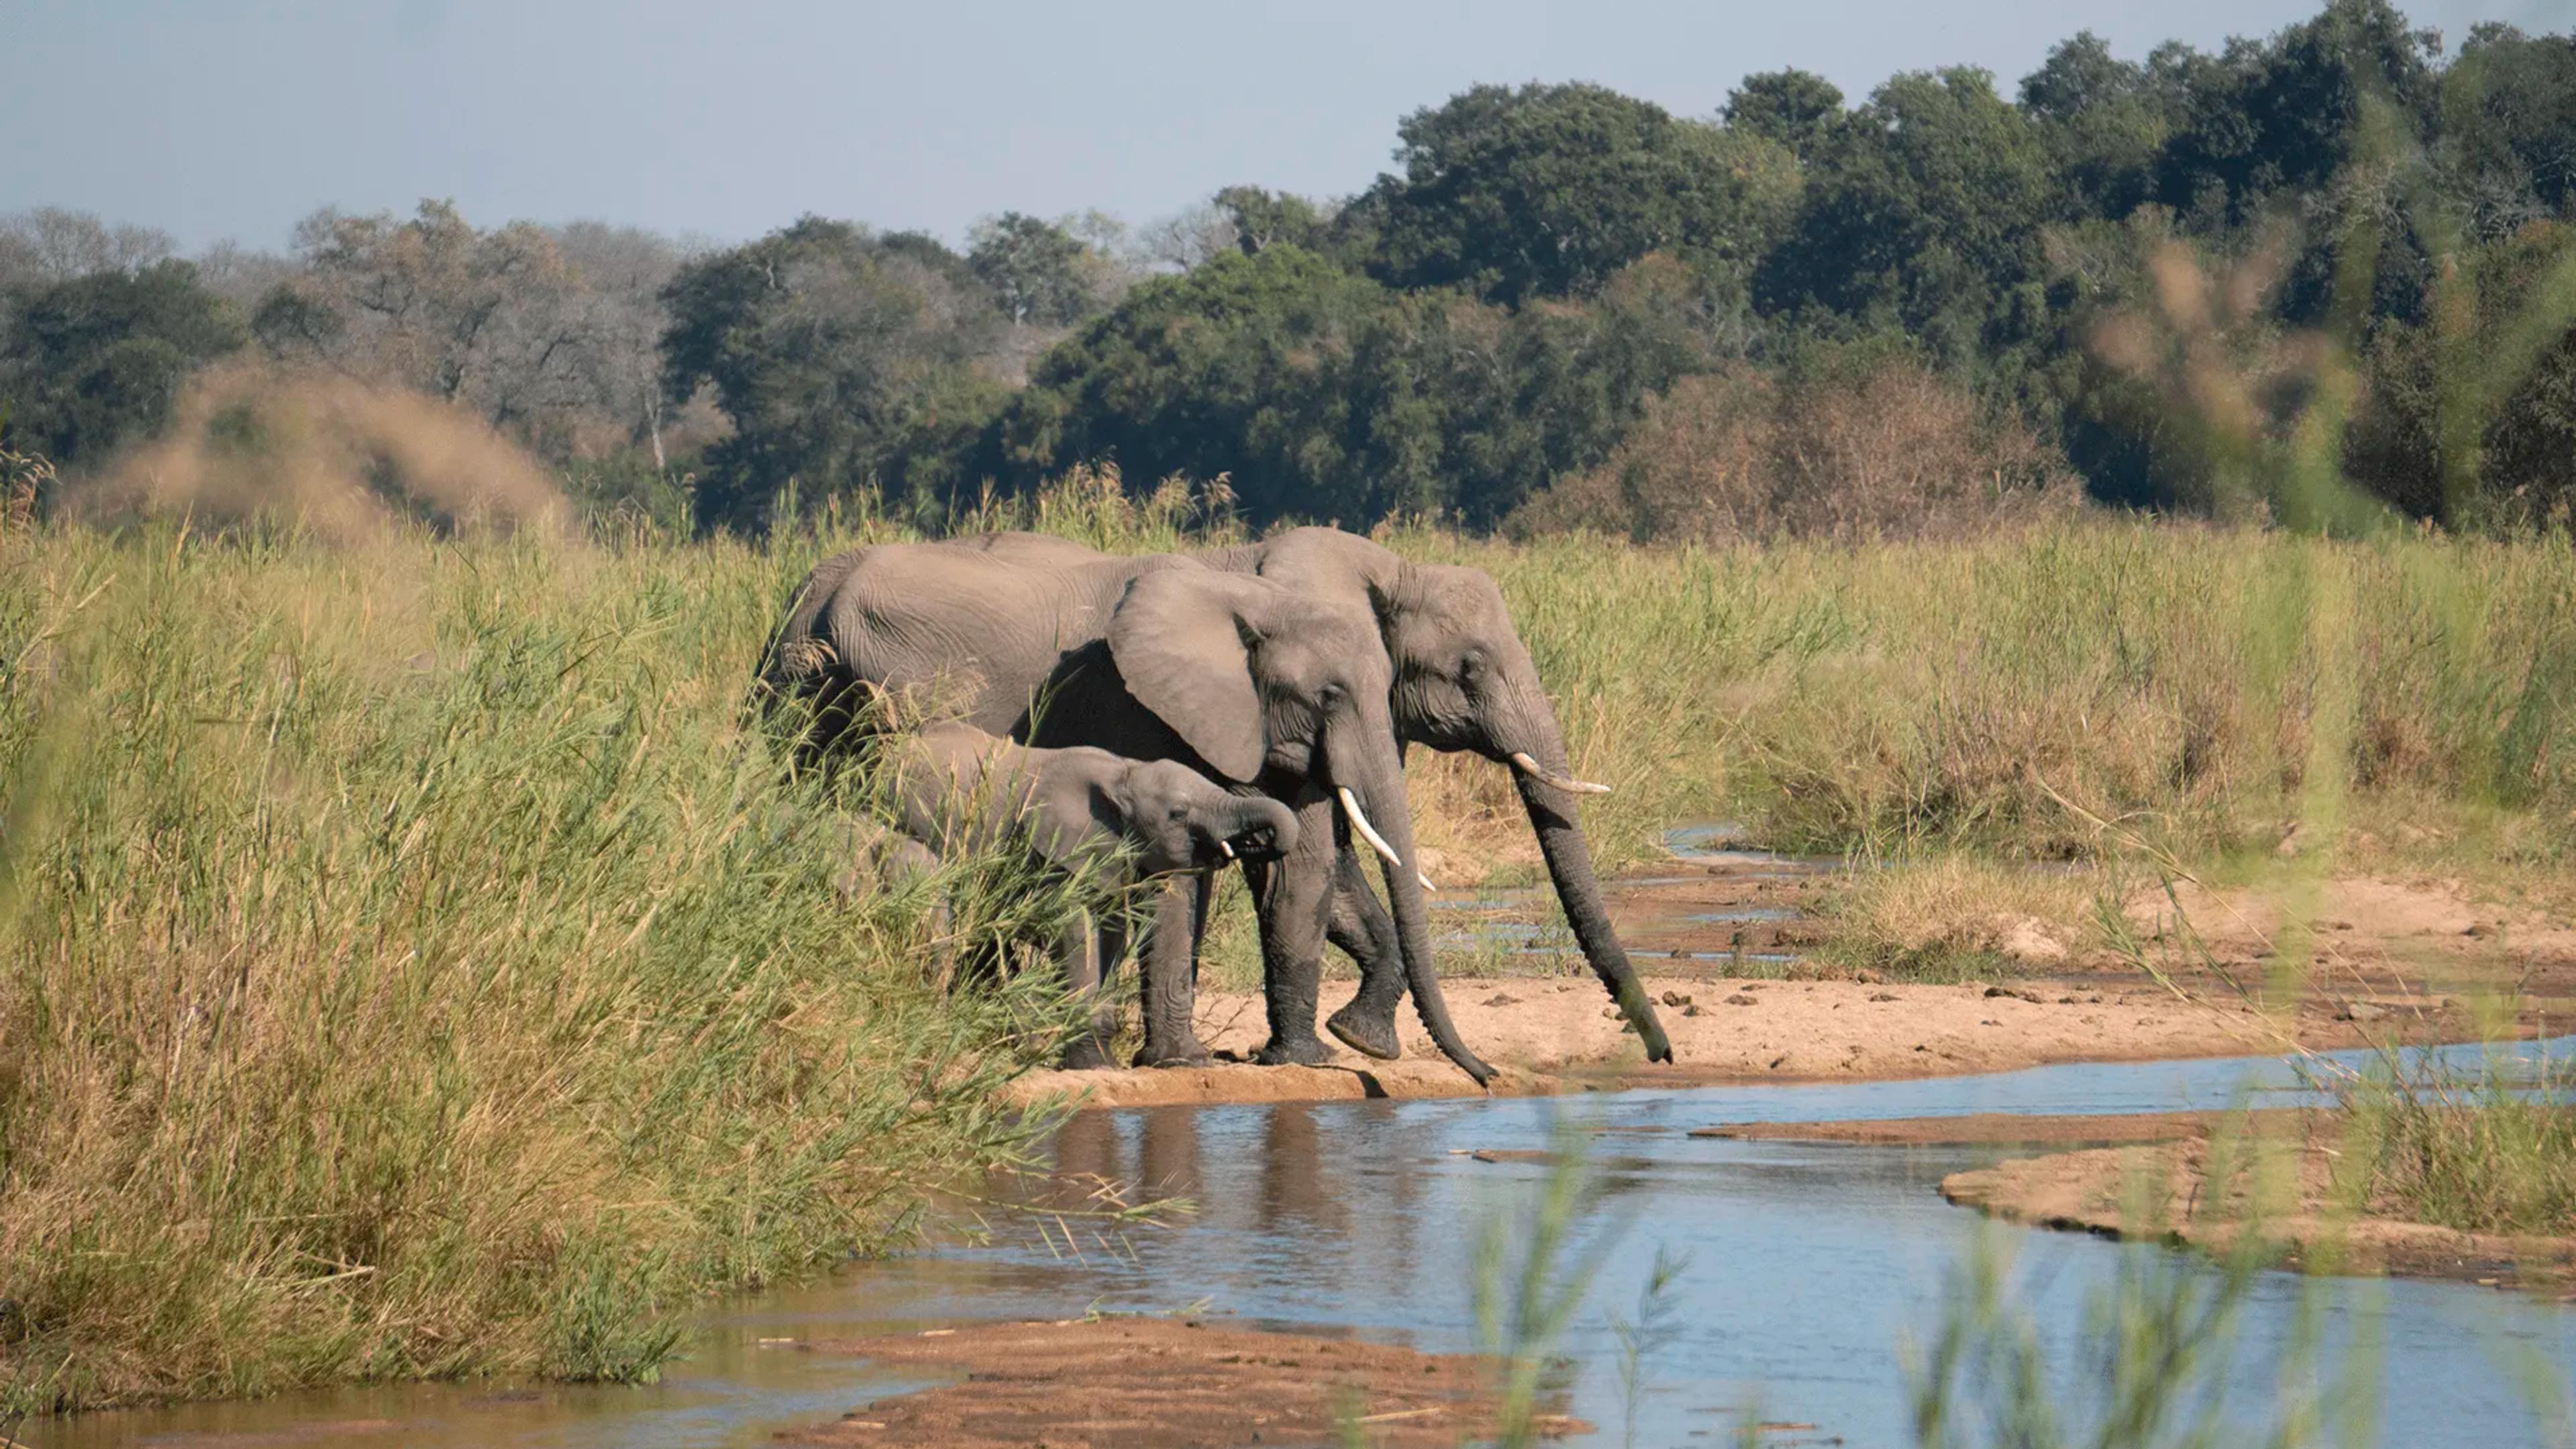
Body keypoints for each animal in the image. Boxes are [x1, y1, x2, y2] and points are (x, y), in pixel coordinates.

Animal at [845, 720, 1298, 1068]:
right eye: (1178, 813)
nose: (1258, 841)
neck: (1124, 773)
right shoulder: (1051, 850)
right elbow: (1077, 929)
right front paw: (1094, 1064)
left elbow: (1137, 926)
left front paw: (1180, 1063)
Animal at [944, 527, 1673, 1065]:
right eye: (1469, 668)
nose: (1660, 1054)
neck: (1389, 568)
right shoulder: (1203, 714)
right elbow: (1300, 857)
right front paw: (1306, 1058)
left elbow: (1327, 859)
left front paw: (1357, 1042)